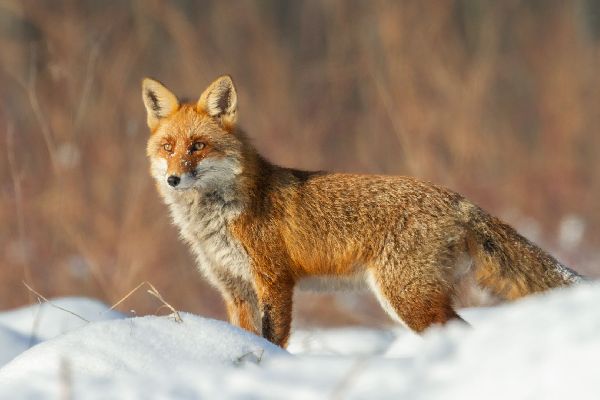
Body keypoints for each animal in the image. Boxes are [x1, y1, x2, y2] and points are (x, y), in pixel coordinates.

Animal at [143, 75, 584, 346]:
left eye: (198, 146)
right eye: (168, 148)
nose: (174, 179)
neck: (218, 216)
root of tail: (459, 199)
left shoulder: (274, 281)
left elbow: (274, 341)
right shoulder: (234, 289)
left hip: (406, 298)